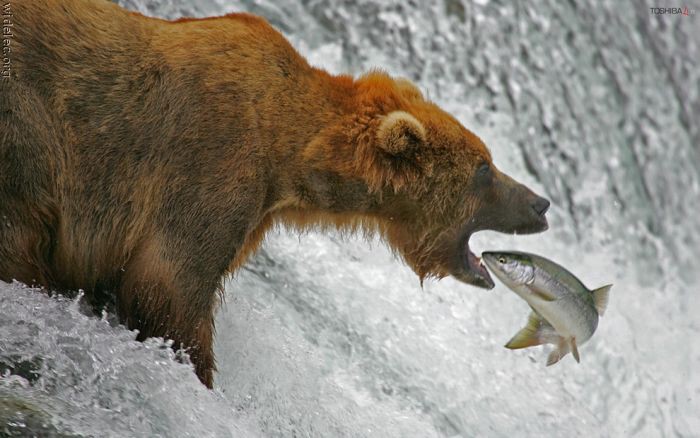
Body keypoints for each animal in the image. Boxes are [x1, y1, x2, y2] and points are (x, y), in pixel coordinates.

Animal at [0, 0, 548, 386]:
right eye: (484, 168)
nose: (541, 202)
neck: (286, 152)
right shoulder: (208, 164)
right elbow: (168, 285)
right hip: (30, 134)